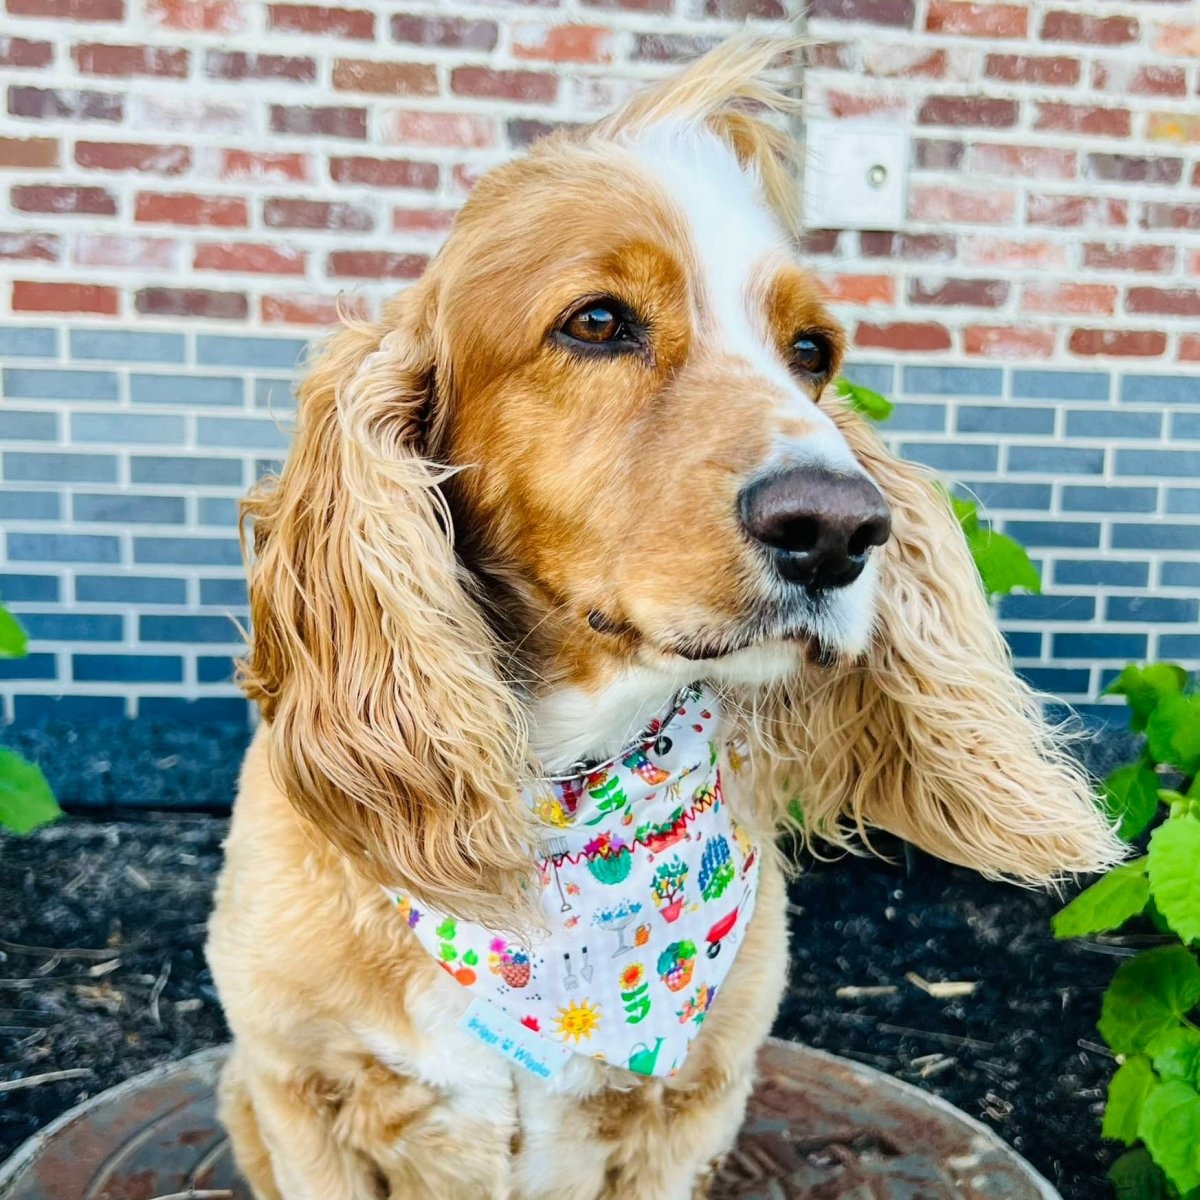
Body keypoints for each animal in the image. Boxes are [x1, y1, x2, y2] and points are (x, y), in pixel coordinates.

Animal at [208, 35, 1123, 1200]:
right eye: (597, 321)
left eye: (813, 352)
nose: (840, 527)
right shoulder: (302, 1091)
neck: (558, 800)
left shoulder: (693, 1105)